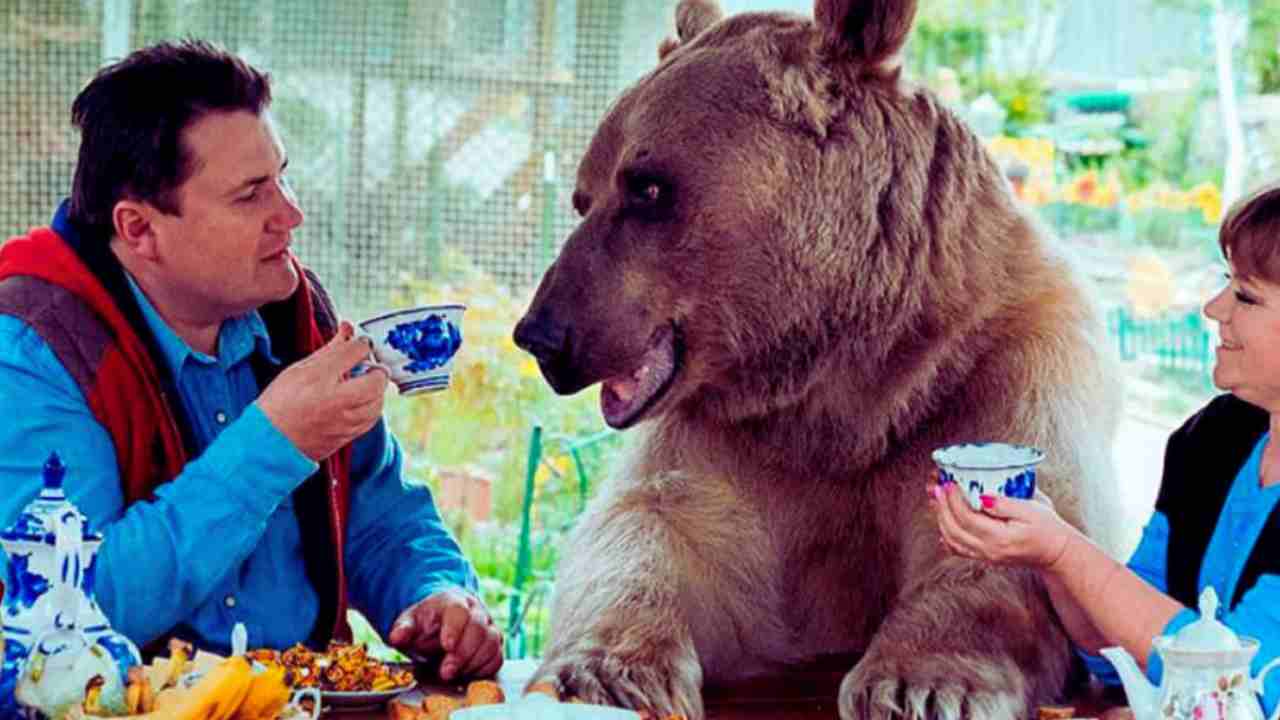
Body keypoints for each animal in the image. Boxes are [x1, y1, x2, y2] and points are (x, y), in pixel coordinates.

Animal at [509, 1, 1121, 717]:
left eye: (649, 188)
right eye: (584, 195)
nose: (543, 334)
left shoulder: (1001, 368)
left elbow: (1012, 538)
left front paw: (920, 683)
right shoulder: (733, 438)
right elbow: (650, 525)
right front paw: (606, 672)